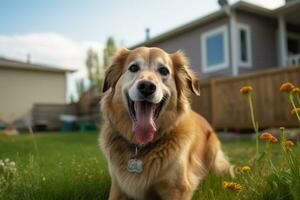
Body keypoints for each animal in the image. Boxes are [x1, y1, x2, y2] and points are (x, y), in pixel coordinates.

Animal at [101, 47, 230, 200]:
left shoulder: (178, 188)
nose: (147, 86)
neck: (140, 147)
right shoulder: (117, 186)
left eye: (164, 70)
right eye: (133, 68)